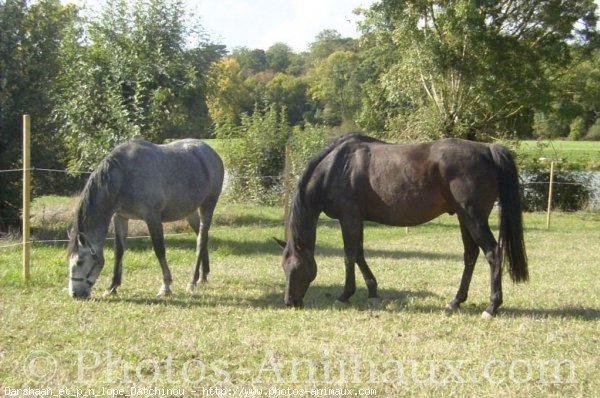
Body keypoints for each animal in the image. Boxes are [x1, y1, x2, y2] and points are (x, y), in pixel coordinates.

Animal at [66, 139, 225, 298]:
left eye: (79, 262)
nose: (75, 294)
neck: (124, 176)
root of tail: (211, 153)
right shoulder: (120, 217)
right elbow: (119, 251)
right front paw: (112, 287)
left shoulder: (152, 217)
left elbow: (159, 249)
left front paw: (166, 286)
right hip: (190, 212)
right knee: (202, 237)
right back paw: (203, 276)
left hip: (208, 205)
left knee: (200, 240)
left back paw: (192, 282)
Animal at [274, 134, 528, 318]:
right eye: (283, 267)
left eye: (296, 267)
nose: (289, 302)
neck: (336, 167)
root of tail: (487, 150)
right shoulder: (357, 219)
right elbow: (360, 254)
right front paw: (373, 292)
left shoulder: (349, 218)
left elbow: (349, 256)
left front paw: (345, 295)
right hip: (463, 217)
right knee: (470, 254)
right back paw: (456, 301)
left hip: (474, 218)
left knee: (493, 253)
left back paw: (491, 307)